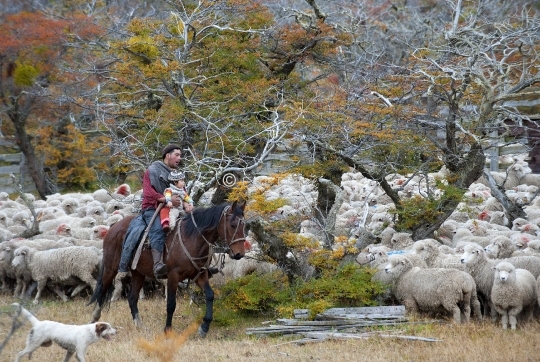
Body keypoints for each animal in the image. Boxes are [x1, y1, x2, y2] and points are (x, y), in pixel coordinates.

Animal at [88, 201, 247, 336]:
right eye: (233, 224)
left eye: (244, 225)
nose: (239, 254)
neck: (192, 238)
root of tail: (113, 227)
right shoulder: (173, 276)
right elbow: (171, 304)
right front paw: (168, 329)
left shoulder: (199, 275)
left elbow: (210, 295)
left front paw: (204, 327)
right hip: (111, 268)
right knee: (102, 290)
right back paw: (94, 320)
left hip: (138, 273)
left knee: (132, 298)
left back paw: (140, 326)